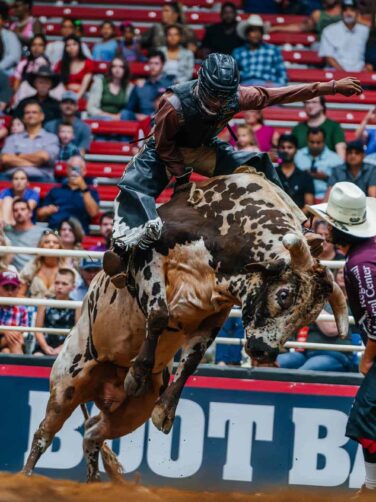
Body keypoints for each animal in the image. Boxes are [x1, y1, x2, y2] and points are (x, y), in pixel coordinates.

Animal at [24, 169, 350, 482]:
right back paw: (26, 477)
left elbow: (193, 358)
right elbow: (158, 315)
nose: (264, 351)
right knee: (43, 435)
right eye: (284, 295)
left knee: (92, 433)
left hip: (129, 413)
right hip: (67, 382)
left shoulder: (217, 310)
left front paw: (164, 412)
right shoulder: (151, 257)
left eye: (309, 316)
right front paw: (136, 374)